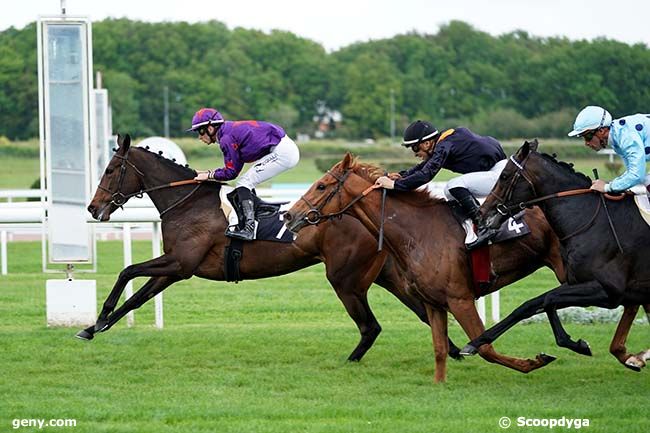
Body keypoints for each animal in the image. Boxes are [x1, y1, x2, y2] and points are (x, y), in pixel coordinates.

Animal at [79, 134, 466, 362]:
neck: (188, 204)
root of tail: (364, 209)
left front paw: (97, 319)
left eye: (111, 169)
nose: (93, 208)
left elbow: (127, 271)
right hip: (384, 273)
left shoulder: (180, 263)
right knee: (422, 310)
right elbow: (137, 295)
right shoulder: (176, 269)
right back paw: (457, 350)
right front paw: (96, 327)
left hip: (346, 279)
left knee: (371, 327)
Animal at [282, 152, 568, 382]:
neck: (419, 232)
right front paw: (439, 384)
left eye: (321, 185)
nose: (288, 215)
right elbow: (439, 349)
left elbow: (485, 348)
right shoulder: (434, 303)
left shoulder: (460, 299)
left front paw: (534, 362)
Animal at [460, 140, 648, 370]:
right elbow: (532, 304)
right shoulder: (582, 283)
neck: (593, 221)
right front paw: (475, 342)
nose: (482, 214)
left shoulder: (609, 290)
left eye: (504, 175)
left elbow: (548, 299)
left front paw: (575, 343)